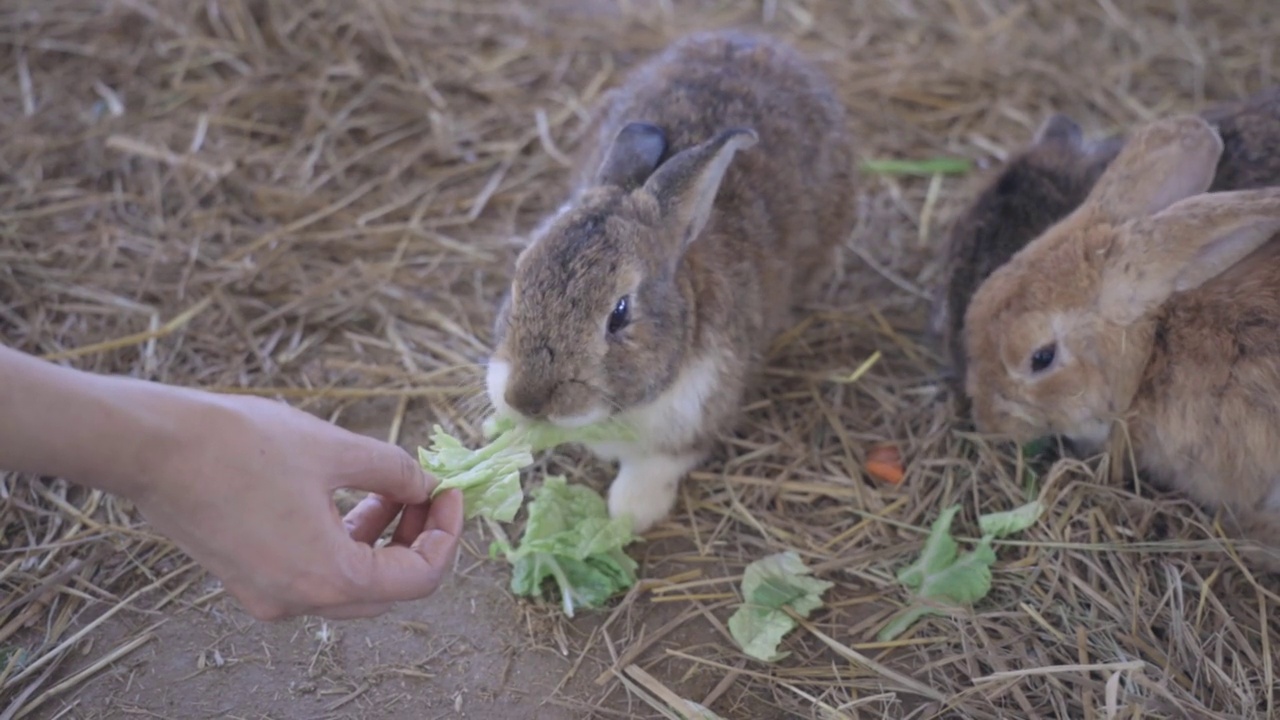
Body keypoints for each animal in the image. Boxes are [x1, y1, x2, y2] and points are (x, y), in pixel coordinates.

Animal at [483, 29, 855, 532]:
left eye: (619, 314)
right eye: (518, 278)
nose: (526, 399)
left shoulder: (694, 422)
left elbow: (656, 468)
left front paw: (627, 514)